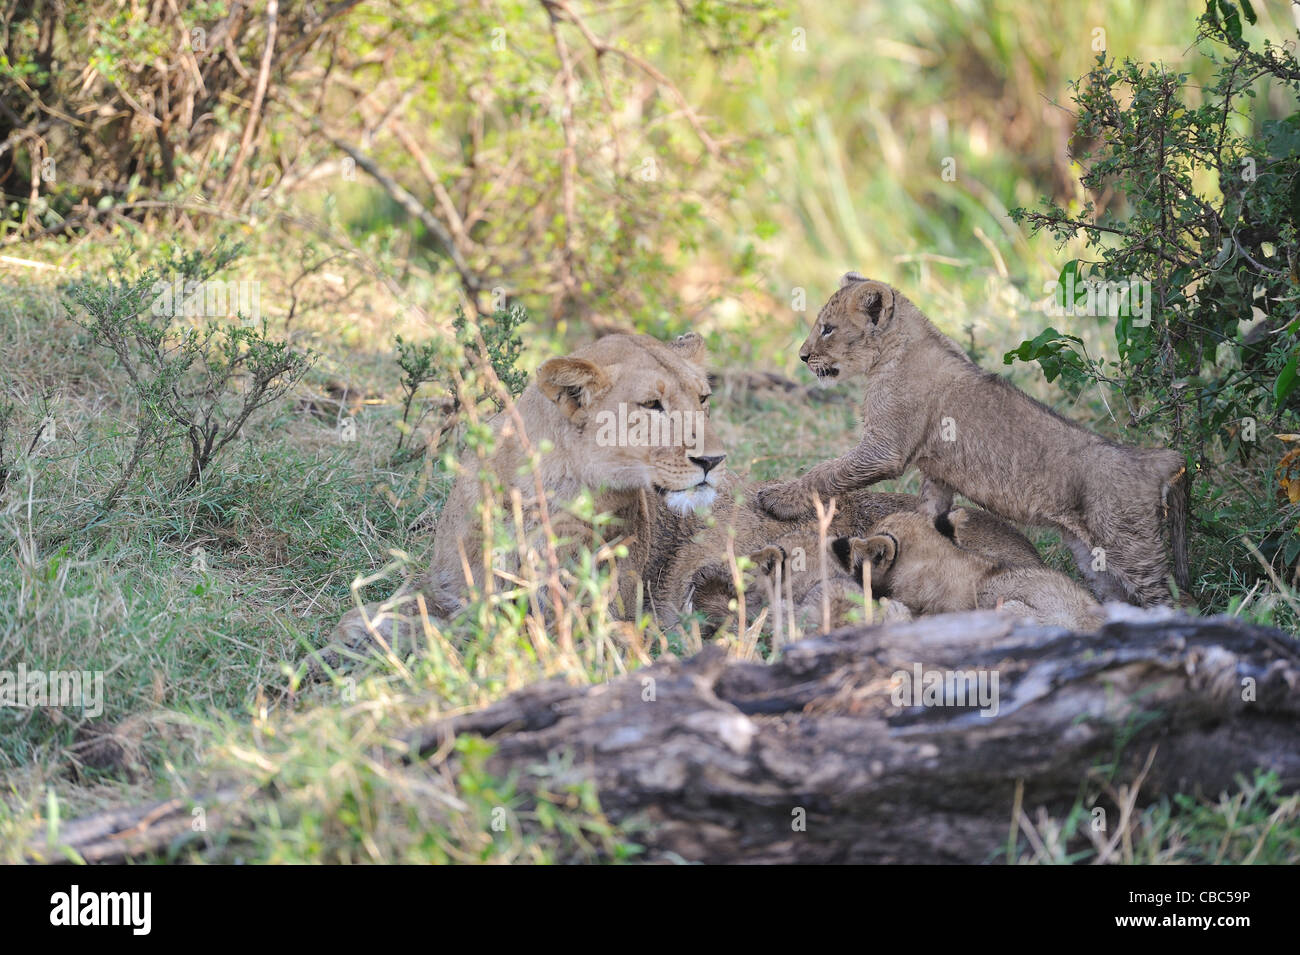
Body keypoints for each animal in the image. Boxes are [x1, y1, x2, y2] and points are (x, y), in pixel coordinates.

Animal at [757, 273, 1190, 608]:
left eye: (827, 328)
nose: (802, 356)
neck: (897, 348)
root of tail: (1152, 460)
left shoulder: (885, 449)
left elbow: (826, 472)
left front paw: (777, 498)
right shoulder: (936, 470)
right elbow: (927, 508)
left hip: (1130, 546)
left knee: (1174, 597)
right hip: (1094, 559)